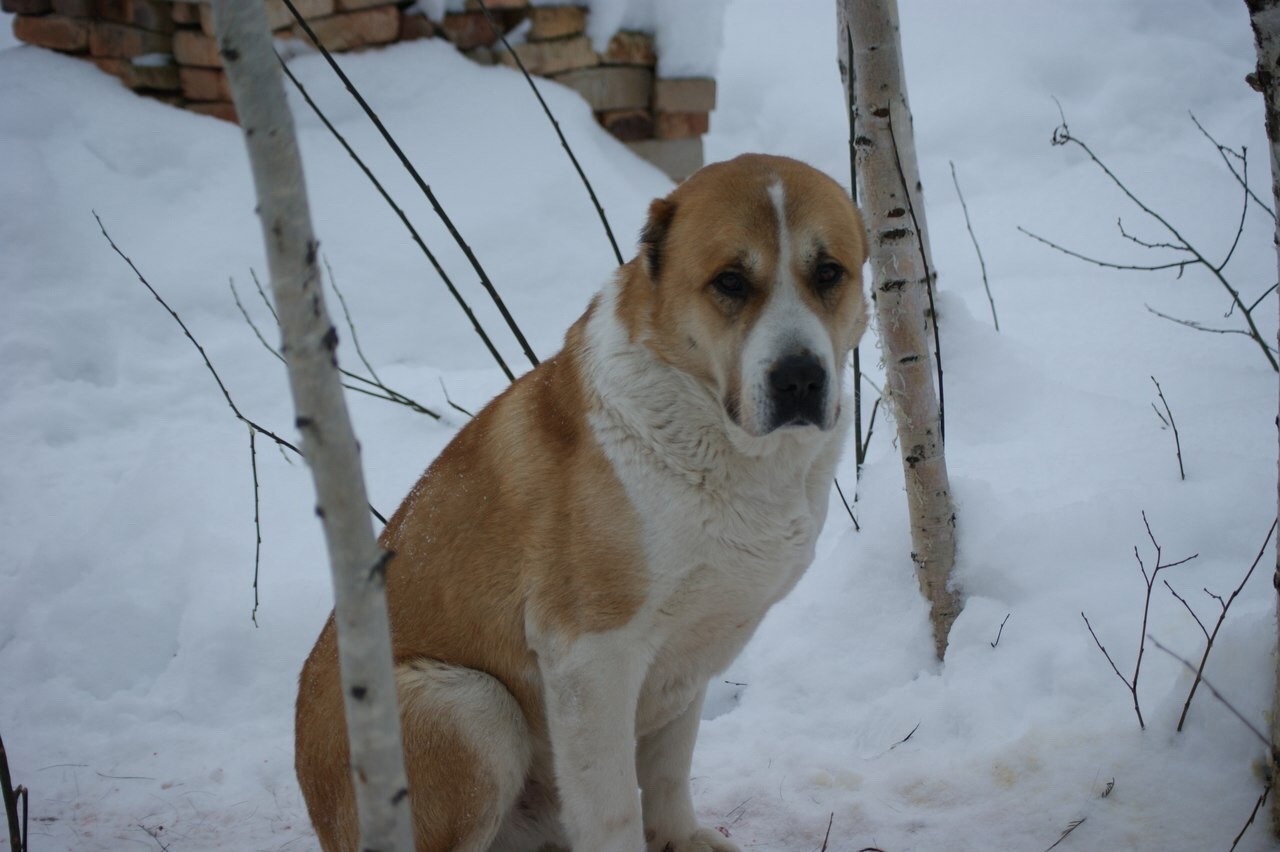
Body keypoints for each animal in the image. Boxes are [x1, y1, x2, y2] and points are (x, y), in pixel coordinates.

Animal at [293, 154, 870, 849]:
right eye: (731, 282)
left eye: (829, 273)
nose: (800, 378)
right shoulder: (591, 656)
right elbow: (613, 804)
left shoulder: (690, 652)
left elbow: (670, 768)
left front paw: (681, 838)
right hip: (466, 704)